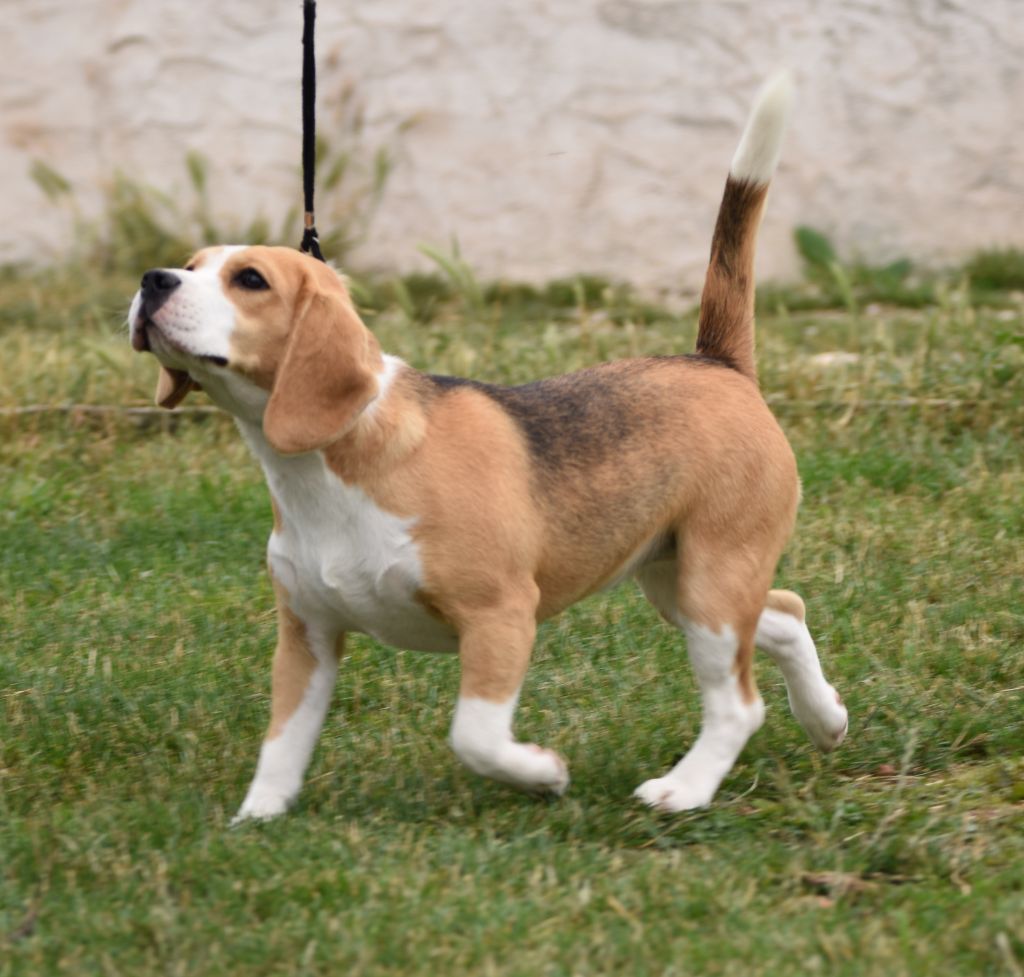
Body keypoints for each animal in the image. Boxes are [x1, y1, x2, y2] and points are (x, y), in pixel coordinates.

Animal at [128, 76, 847, 819]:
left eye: (250, 280)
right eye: (190, 266)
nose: (153, 279)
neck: (330, 466)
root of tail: (717, 363)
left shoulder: (499, 615)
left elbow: (473, 734)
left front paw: (541, 772)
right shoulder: (308, 635)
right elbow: (281, 743)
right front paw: (258, 818)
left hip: (711, 579)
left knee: (738, 702)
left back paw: (684, 788)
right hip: (676, 579)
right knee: (785, 612)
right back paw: (826, 718)